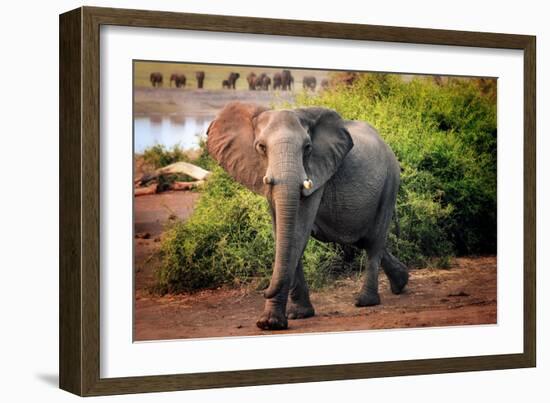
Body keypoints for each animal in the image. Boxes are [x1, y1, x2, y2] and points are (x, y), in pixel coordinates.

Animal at [207, 102, 410, 332]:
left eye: (307, 148)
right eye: (261, 147)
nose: (263, 290)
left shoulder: (317, 173)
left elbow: (297, 232)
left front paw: (271, 323)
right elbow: (282, 233)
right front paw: (294, 316)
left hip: (390, 182)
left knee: (374, 241)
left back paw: (366, 301)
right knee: (364, 240)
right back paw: (401, 282)